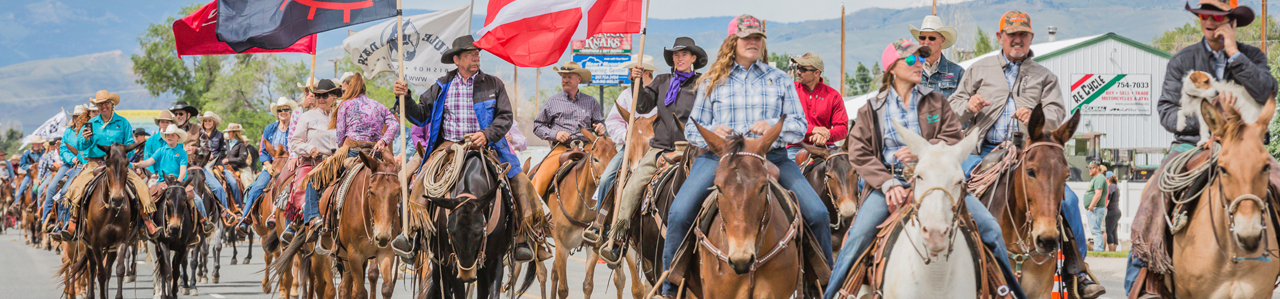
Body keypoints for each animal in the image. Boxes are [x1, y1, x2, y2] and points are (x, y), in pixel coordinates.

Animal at [58, 141, 144, 299]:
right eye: (108, 163)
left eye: (126, 163)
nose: (117, 199)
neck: (110, 210)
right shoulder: (95, 243)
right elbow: (100, 273)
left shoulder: (121, 240)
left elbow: (119, 269)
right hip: (88, 245)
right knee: (92, 268)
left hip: (110, 247)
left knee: (107, 269)